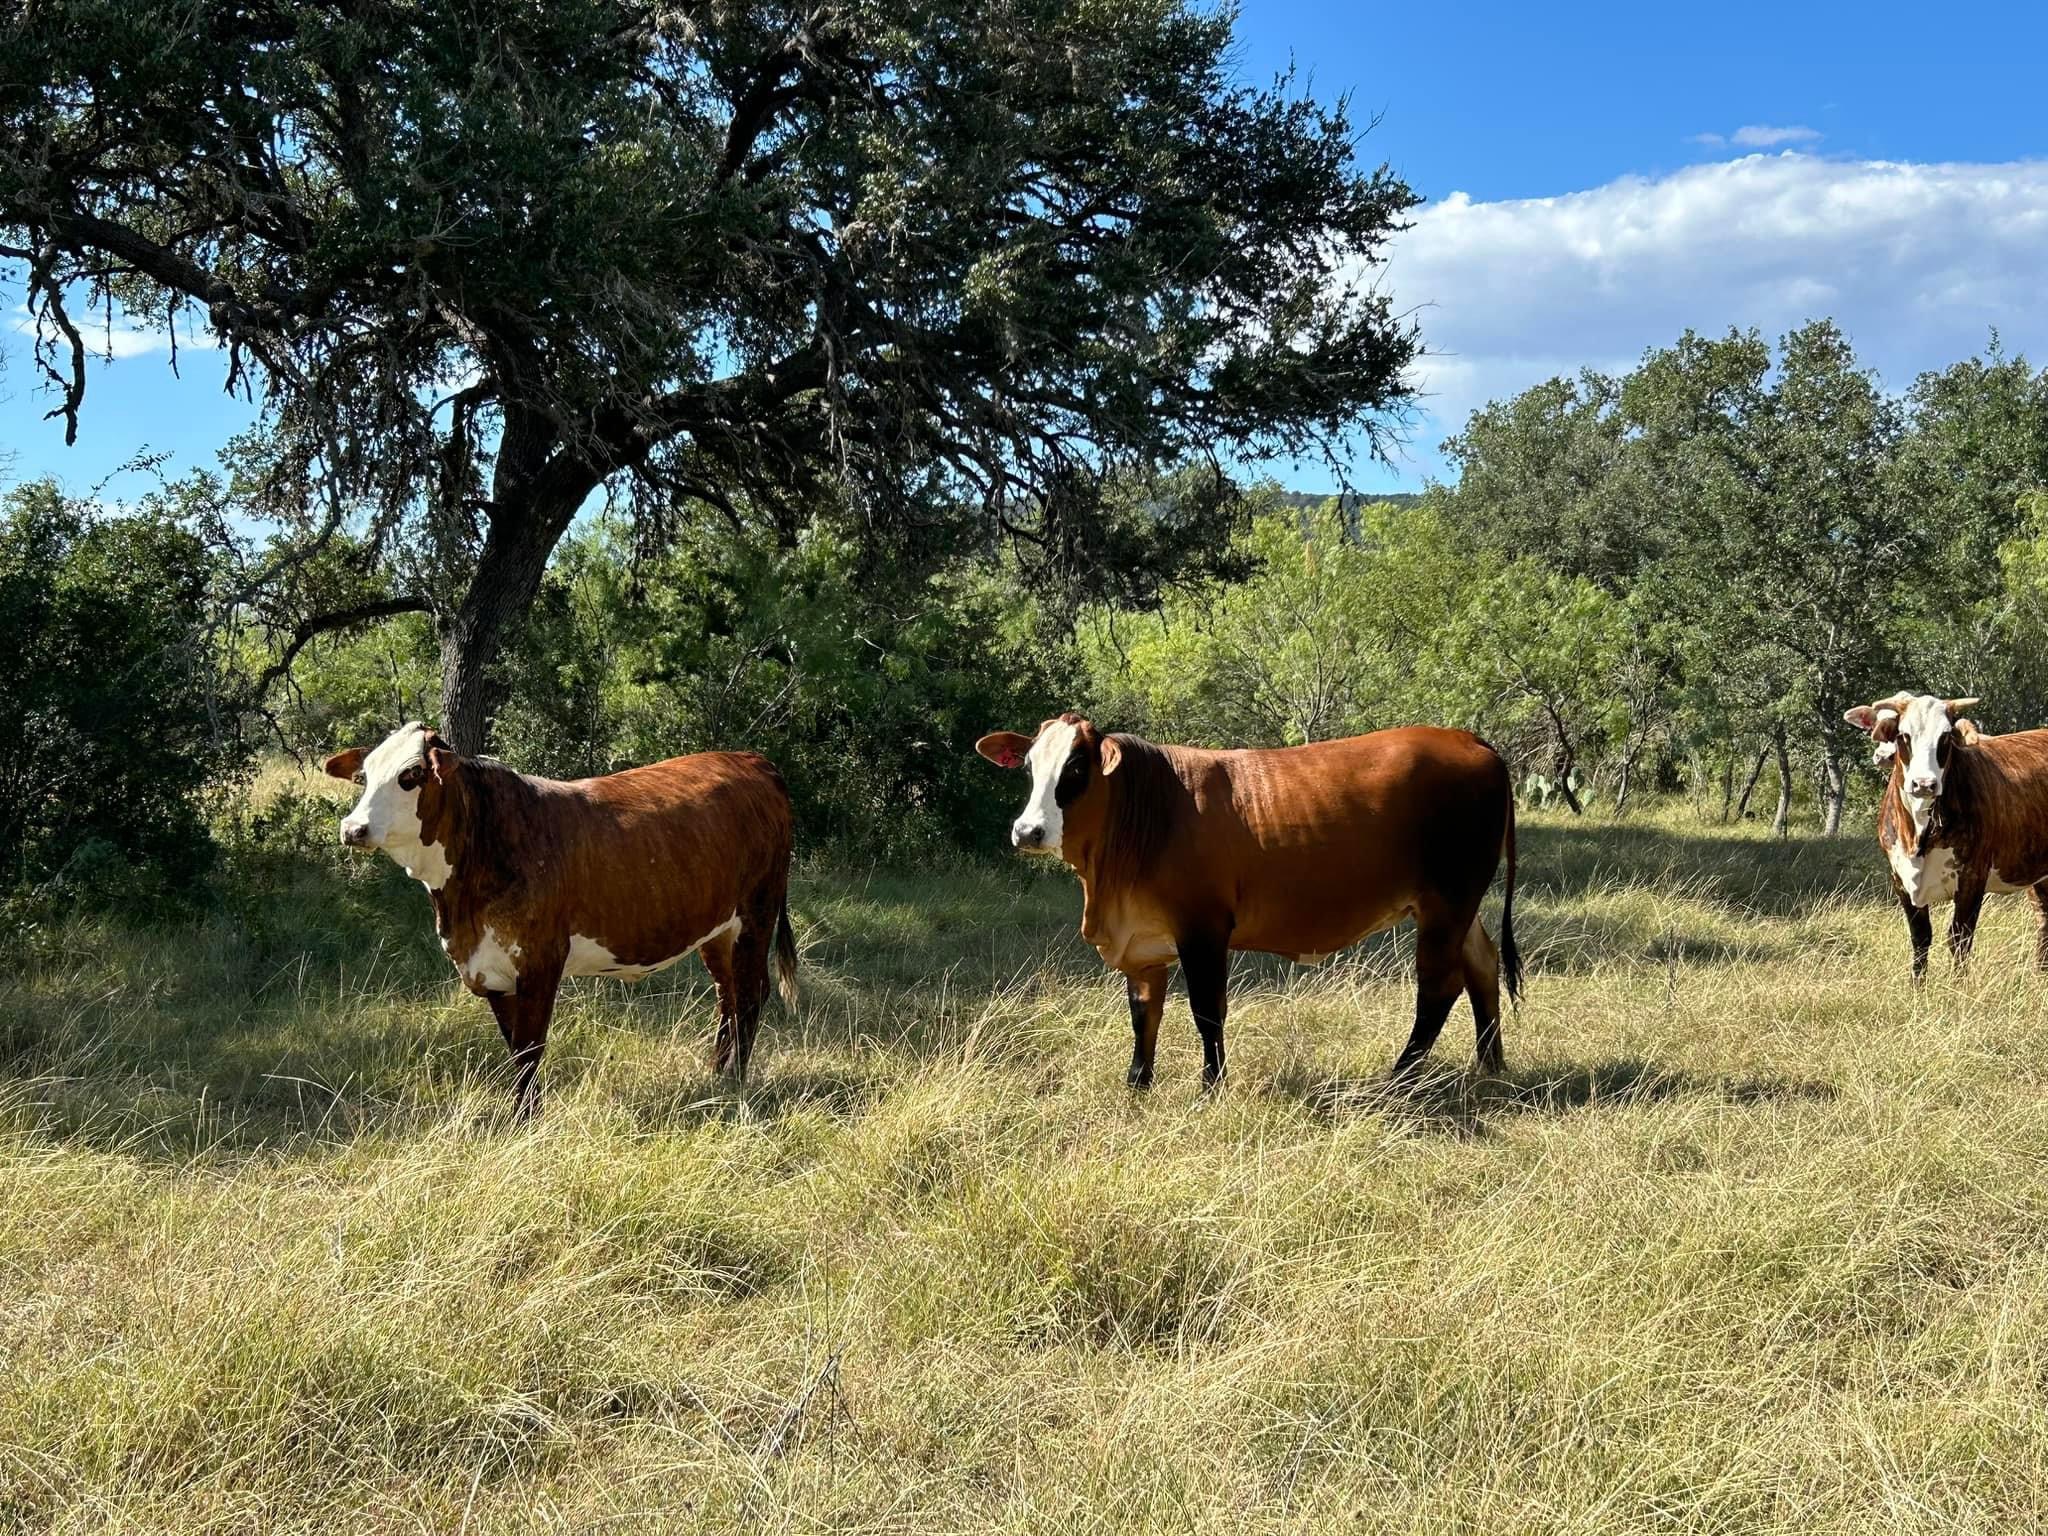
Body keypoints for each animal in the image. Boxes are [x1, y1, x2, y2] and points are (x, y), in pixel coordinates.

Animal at [323, 729, 794, 1114]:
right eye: (364, 776)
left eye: (412, 774)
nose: (352, 828)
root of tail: (752, 759)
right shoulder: (489, 969)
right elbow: (516, 1050)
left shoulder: (540, 961)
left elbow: (530, 1048)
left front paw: (523, 1123)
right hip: (717, 930)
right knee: (728, 995)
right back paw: (717, 1074)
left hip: (756, 914)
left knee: (749, 996)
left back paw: (735, 1081)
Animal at [974, 720, 1523, 1097]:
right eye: (1029, 768)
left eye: (1075, 767)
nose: (1027, 831)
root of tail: (1470, 740)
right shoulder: (1143, 944)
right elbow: (1144, 1014)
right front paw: (1137, 1084)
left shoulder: (1203, 929)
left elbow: (1206, 1011)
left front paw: (1210, 1086)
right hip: (1460, 906)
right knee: (1482, 964)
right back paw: (1490, 1064)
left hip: (1446, 901)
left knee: (1438, 987)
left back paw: (1400, 1077)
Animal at [1851, 696, 2048, 978]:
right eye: (1903, 735)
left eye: (1945, 736)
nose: (1924, 784)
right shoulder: (1900, 879)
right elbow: (1920, 939)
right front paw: (1918, 986)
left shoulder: (1972, 878)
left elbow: (1959, 939)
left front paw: (1957, 984)